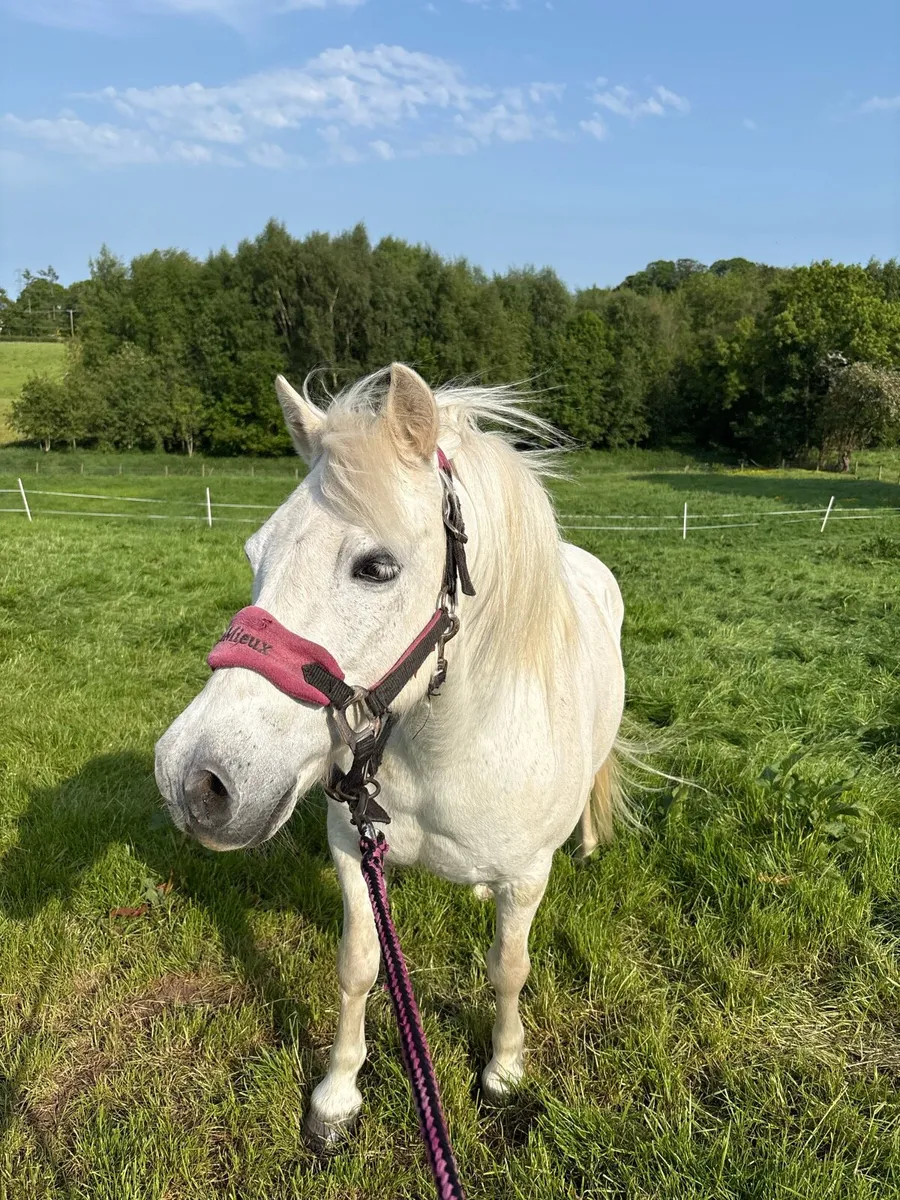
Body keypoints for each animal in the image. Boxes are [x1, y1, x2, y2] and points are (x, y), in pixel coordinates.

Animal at [154, 363, 626, 1142]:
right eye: (255, 553)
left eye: (376, 567)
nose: (193, 780)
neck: (447, 751)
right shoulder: (353, 849)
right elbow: (357, 967)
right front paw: (336, 1094)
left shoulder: (527, 877)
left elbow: (509, 969)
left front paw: (504, 1069)